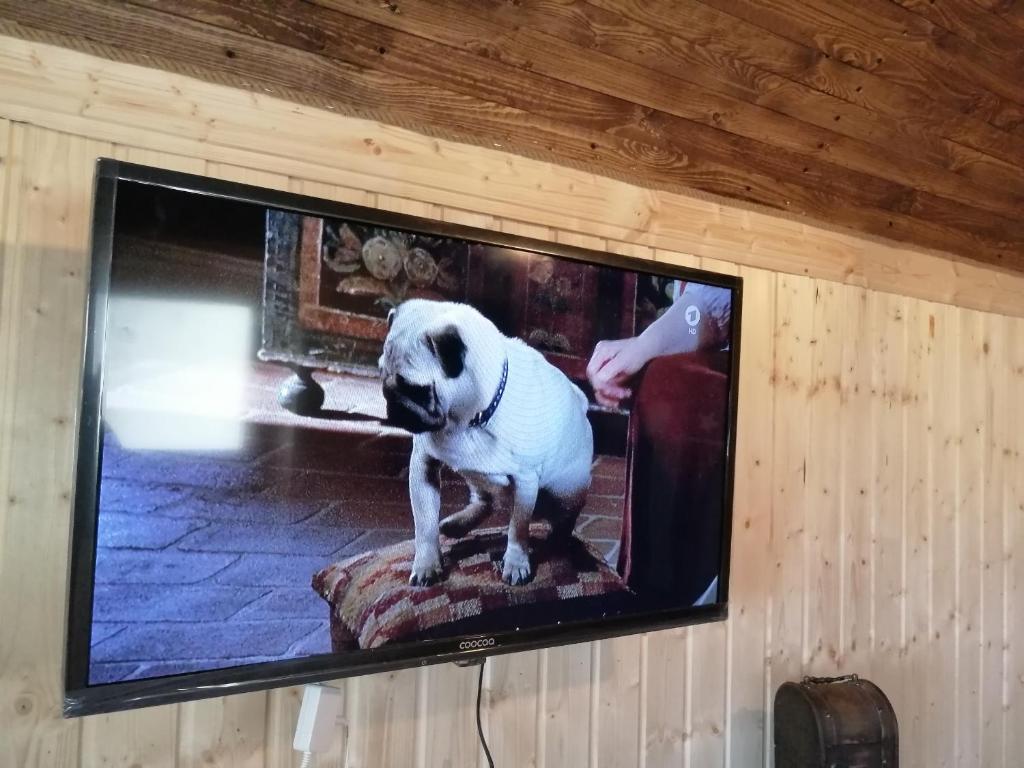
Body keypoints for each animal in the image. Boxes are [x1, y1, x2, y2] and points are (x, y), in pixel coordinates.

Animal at [382, 301, 593, 589]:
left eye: (417, 390)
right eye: (382, 377)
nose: (392, 403)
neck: (468, 420)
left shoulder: (526, 480)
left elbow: (518, 529)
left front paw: (516, 562)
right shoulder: (423, 466)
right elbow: (424, 525)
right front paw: (426, 564)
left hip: (566, 492)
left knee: (563, 523)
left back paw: (557, 545)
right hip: (477, 477)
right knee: (485, 499)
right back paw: (459, 523)